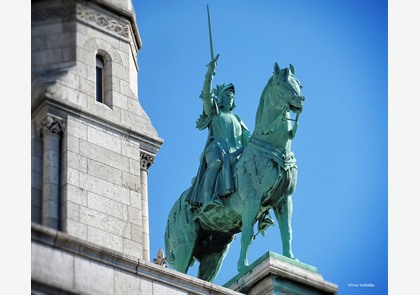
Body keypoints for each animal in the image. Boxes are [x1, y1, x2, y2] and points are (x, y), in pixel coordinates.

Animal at [164, 61, 306, 282]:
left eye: (298, 83)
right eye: (282, 82)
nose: (300, 100)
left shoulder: (284, 200)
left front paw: (291, 258)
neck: (273, 147)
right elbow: (246, 234)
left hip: (214, 253)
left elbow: (287, 230)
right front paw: (244, 267)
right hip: (184, 244)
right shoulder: (252, 199)